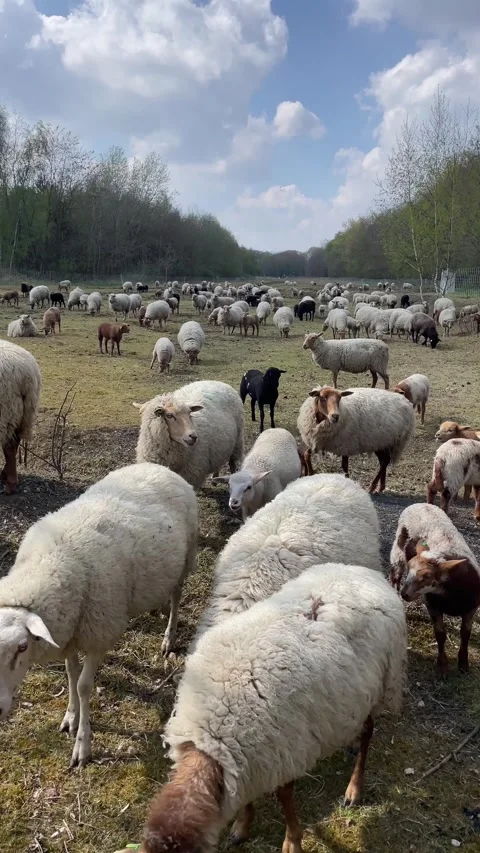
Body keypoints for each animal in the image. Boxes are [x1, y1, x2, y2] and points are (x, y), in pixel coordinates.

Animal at [0, 340, 41, 495]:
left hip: (6, 410)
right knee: (15, 442)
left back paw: (10, 484)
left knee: (9, 447)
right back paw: (5, 475)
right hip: (22, 414)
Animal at [0, 463, 198, 767]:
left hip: (185, 560)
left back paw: (169, 636)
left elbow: (83, 685)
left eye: (22, 647)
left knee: (177, 598)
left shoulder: (99, 633)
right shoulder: (70, 632)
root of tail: (157, 466)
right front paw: (70, 717)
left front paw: (83, 745)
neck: (52, 562)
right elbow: (70, 673)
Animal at [390, 503, 480, 674]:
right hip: (398, 549)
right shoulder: (432, 606)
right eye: (410, 569)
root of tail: (420, 504)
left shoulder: (471, 608)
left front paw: (463, 663)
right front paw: (442, 666)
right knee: (394, 575)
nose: (405, 594)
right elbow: (440, 634)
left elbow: (465, 633)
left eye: (426, 577)